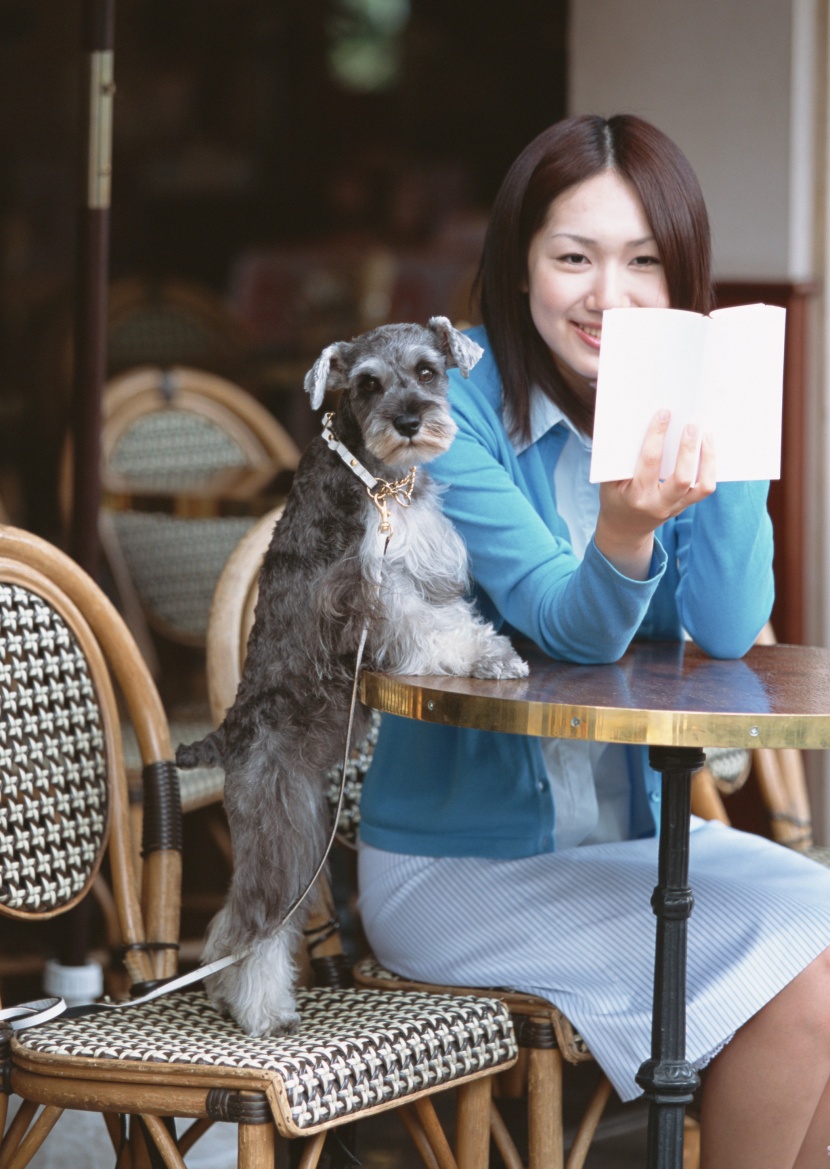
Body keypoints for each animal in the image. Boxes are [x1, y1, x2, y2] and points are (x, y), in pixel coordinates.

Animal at [177, 315, 526, 1038]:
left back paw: (228, 993)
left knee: (232, 922)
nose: (410, 420)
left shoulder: (423, 571)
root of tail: (226, 732)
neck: (382, 481)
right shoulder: (365, 597)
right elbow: (430, 630)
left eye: (427, 370)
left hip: (304, 823)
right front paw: (486, 657)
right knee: (255, 922)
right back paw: (261, 1008)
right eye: (366, 383)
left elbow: (453, 619)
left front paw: (490, 652)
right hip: (285, 828)